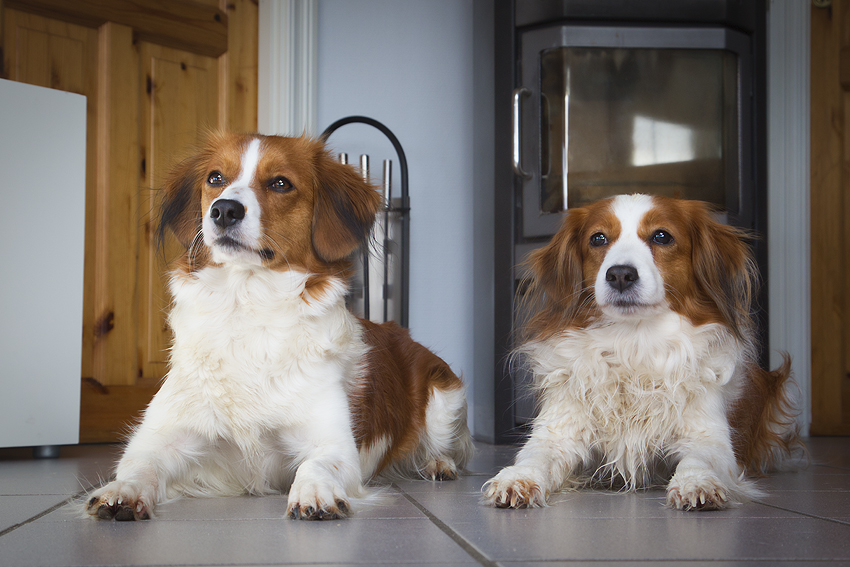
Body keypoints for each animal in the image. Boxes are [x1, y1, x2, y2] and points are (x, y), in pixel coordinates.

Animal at [85, 131, 474, 520]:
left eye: (280, 183)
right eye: (215, 178)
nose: (223, 210)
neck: (247, 309)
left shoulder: (333, 443)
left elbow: (316, 464)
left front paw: (314, 493)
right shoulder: (160, 437)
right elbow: (138, 466)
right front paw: (120, 491)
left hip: (444, 401)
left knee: (449, 447)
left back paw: (438, 464)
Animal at [484, 194, 796, 510]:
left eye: (662, 236)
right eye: (598, 238)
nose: (620, 274)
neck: (633, 344)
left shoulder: (708, 438)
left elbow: (698, 460)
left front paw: (697, 483)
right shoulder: (557, 432)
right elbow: (535, 456)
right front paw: (517, 478)